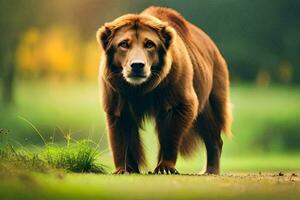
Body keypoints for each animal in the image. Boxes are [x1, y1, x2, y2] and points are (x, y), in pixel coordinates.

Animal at [96, 6, 232, 174]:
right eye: (124, 44)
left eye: (149, 44)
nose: (137, 65)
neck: (141, 88)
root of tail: (211, 44)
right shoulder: (117, 91)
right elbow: (122, 128)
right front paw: (125, 168)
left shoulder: (173, 86)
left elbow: (171, 129)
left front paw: (164, 167)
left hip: (211, 86)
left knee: (210, 125)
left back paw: (210, 169)